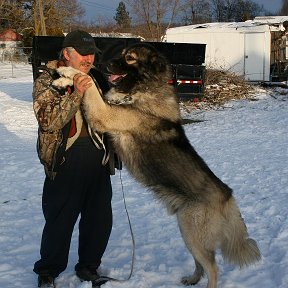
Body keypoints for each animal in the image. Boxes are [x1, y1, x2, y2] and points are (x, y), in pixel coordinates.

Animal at [52, 42, 260, 288]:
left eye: (130, 58)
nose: (103, 63)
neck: (141, 92)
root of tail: (228, 196)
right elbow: (90, 83)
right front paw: (63, 79)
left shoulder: (104, 113)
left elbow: (90, 85)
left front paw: (68, 72)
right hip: (187, 232)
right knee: (201, 264)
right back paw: (192, 279)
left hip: (193, 232)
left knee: (213, 268)